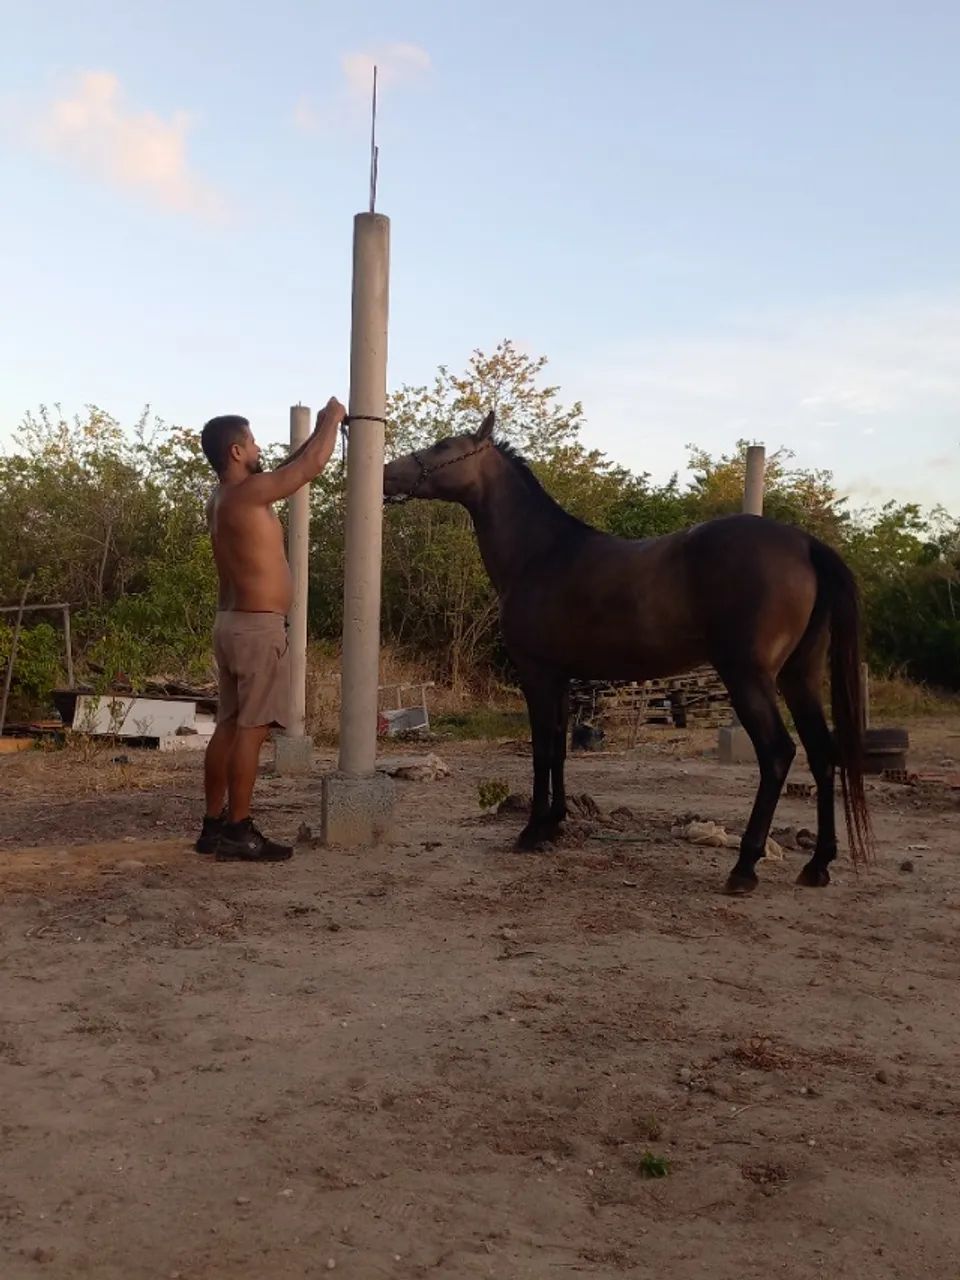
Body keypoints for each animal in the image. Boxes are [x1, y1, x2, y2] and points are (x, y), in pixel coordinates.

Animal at [383, 411, 871, 895]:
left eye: (444, 446)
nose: (386, 474)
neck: (541, 554)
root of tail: (804, 544)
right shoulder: (561, 678)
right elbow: (558, 748)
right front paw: (554, 824)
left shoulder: (536, 674)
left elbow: (542, 749)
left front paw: (532, 830)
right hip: (799, 676)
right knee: (822, 754)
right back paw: (818, 864)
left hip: (748, 677)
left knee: (777, 754)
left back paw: (745, 867)